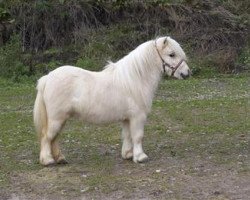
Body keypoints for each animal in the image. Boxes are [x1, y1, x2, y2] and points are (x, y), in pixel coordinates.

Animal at [33, 36, 191, 166]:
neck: (135, 79)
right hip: (56, 118)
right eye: (171, 54)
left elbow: (127, 136)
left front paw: (128, 154)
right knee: (47, 137)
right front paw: (140, 157)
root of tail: (47, 78)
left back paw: (60, 158)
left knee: (54, 138)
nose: (187, 73)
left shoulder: (127, 118)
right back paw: (47, 160)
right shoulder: (138, 116)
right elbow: (138, 136)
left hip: (61, 119)